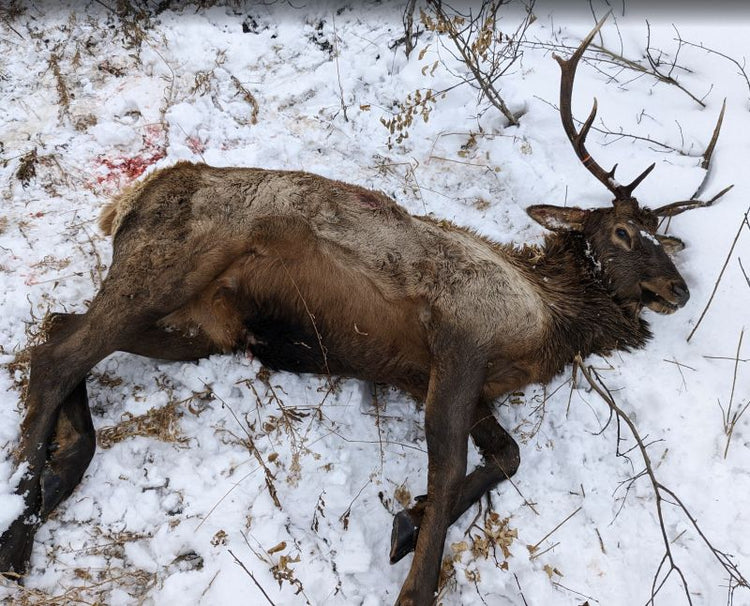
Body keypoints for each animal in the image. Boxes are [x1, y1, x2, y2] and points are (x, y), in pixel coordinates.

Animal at [0, 15, 729, 606]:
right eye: (624, 233)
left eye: (663, 236)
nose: (679, 291)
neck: (549, 322)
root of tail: (127, 200)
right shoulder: (460, 336)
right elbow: (453, 466)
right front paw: (415, 576)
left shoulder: (438, 377)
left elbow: (506, 456)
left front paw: (407, 521)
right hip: (172, 265)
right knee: (59, 352)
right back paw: (18, 526)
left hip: (210, 326)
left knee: (59, 329)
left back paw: (54, 477)